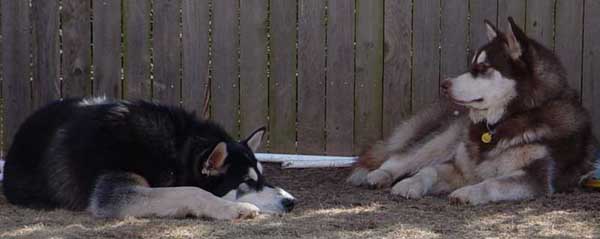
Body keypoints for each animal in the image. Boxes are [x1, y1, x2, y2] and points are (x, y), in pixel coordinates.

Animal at [2, 96, 296, 218]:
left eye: (263, 177)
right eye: (246, 183)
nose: (291, 202)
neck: (173, 152)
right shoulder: (114, 193)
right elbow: (191, 190)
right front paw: (234, 208)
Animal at [346, 17, 596, 204]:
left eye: (482, 67)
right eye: (471, 64)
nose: (444, 84)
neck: (506, 119)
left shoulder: (535, 177)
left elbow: (492, 183)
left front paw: (467, 192)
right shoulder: (460, 167)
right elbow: (429, 171)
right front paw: (409, 184)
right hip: (445, 139)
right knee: (401, 157)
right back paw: (379, 175)